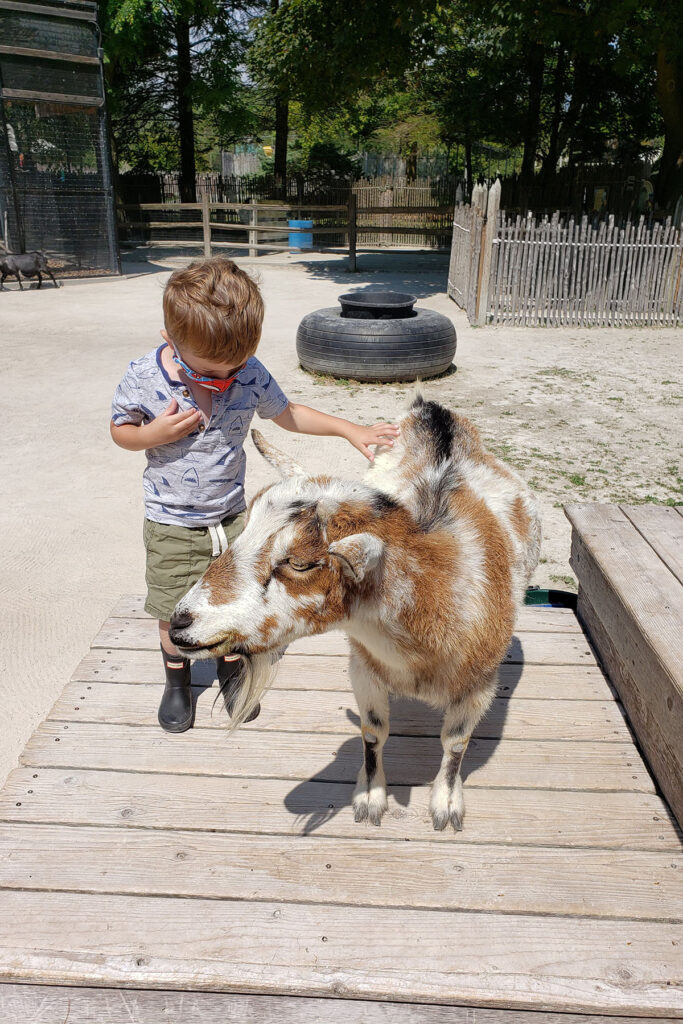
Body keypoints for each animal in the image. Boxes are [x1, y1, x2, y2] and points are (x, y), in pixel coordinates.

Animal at [167, 397, 540, 831]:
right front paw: (370, 798)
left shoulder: (479, 685)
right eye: (242, 531)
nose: (180, 623)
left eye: (300, 563)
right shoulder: (364, 667)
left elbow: (456, 743)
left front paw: (446, 805)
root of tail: (432, 409)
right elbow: (373, 732)